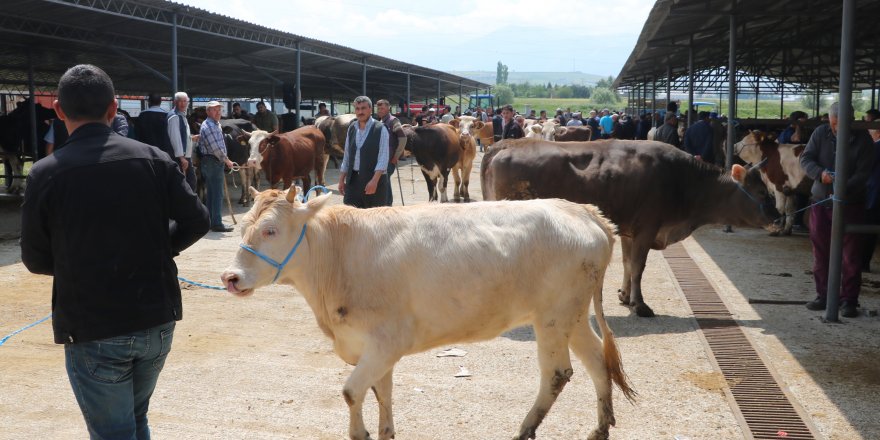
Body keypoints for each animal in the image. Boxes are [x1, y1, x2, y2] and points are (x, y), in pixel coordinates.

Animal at [220, 189, 632, 440]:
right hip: (572, 316)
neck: (340, 254)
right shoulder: (374, 347)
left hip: (552, 317)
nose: (230, 278)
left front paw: (360, 432)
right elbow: (381, 393)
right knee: (597, 361)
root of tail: (582, 210)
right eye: (243, 228)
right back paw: (600, 428)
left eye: (271, 230)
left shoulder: (387, 341)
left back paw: (524, 430)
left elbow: (352, 392)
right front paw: (385, 431)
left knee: (557, 373)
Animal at [482, 138, 776, 316]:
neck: (684, 181)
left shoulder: (627, 229)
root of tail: (508, 144)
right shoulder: (647, 228)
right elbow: (638, 266)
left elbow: (626, 262)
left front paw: (624, 295)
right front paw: (640, 304)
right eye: (762, 192)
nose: (777, 219)